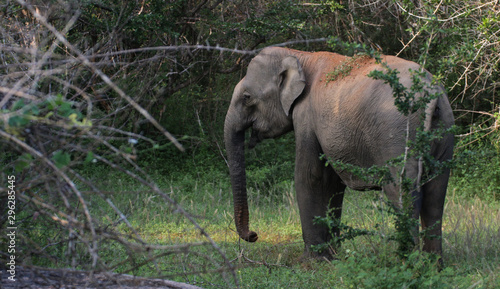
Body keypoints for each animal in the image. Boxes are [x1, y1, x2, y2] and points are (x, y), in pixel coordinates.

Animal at [225, 47, 456, 258]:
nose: (254, 235)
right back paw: (434, 264)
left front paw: (313, 260)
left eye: (247, 97)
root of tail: (430, 92)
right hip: (444, 129)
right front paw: (333, 256)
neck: (300, 55)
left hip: (398, 133)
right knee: (436, 194)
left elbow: (310, 177)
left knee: (401, 189)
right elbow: (332, 183)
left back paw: (409, 262)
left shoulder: (305, 115)